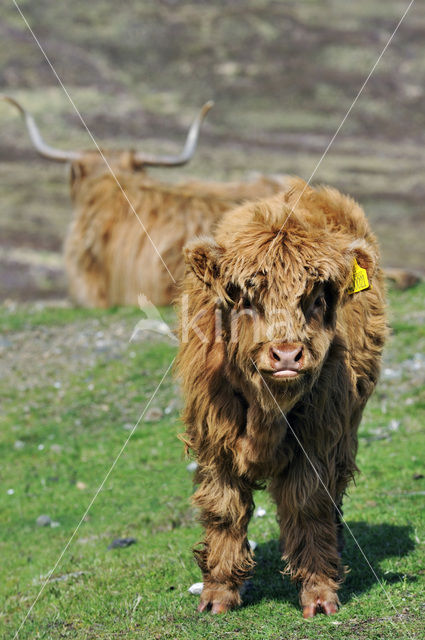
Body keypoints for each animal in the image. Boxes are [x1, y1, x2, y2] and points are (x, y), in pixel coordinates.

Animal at [177, 178, 386, 616]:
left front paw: (319, 593)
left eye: (317, 298)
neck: (265, 412)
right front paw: (218, 593)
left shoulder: (319, 436)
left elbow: (308, 504)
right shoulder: (213, 438)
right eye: (245, 298)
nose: (287, 353)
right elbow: (223, 509)